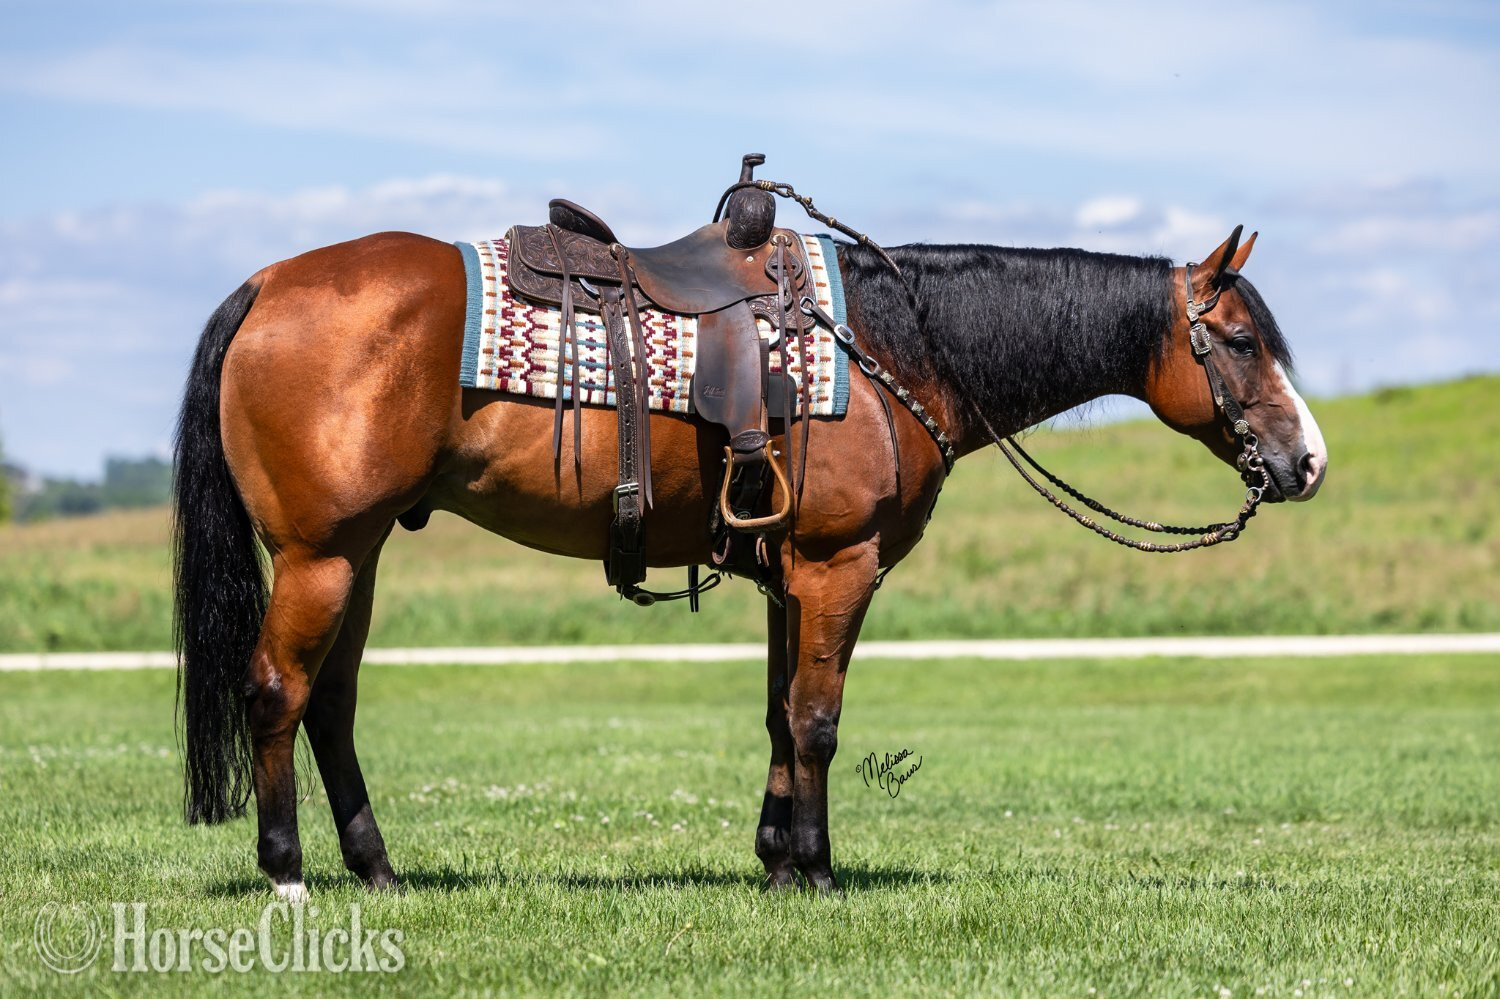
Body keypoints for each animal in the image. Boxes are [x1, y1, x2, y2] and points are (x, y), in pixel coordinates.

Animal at [173, 217, 1327, 899]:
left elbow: (778, 715)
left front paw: (774, 863)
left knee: (330, 704)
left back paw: (377, 869)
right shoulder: (837, 564)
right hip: (321, 554)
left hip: (359, 553)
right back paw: (287, 875)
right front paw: (814, 872)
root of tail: (267, 282)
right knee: (275, 691)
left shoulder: (790, 576)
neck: (892, 349)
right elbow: (817, 720)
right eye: (1236, 340)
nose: (1307, 462)